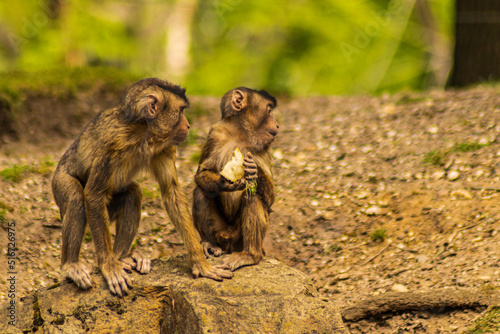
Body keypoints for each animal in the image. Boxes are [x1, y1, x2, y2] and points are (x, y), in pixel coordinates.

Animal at [51, 78, 233, 298]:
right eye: (180, 110)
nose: (188, 125)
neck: (143, 132)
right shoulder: (113, 141)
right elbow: (93, 195)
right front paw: (109, 266)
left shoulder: (165, 147)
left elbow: (171, 192)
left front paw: (200, 263)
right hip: (59, 182)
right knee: (77, 198)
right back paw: (73, 265)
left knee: (133, 193)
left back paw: (122, 257)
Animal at [192, 87, 280, 272]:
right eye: (269, 110)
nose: (277, 125)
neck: (241, 135)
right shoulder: (215, 134)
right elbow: (203, 173)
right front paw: (223, 182)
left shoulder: (263, 149)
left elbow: (269, 199)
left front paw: (256, 171)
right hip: (221, 232)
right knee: (200, 192)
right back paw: (210, 244)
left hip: (240, 238)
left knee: (253, 195)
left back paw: (250, 255)